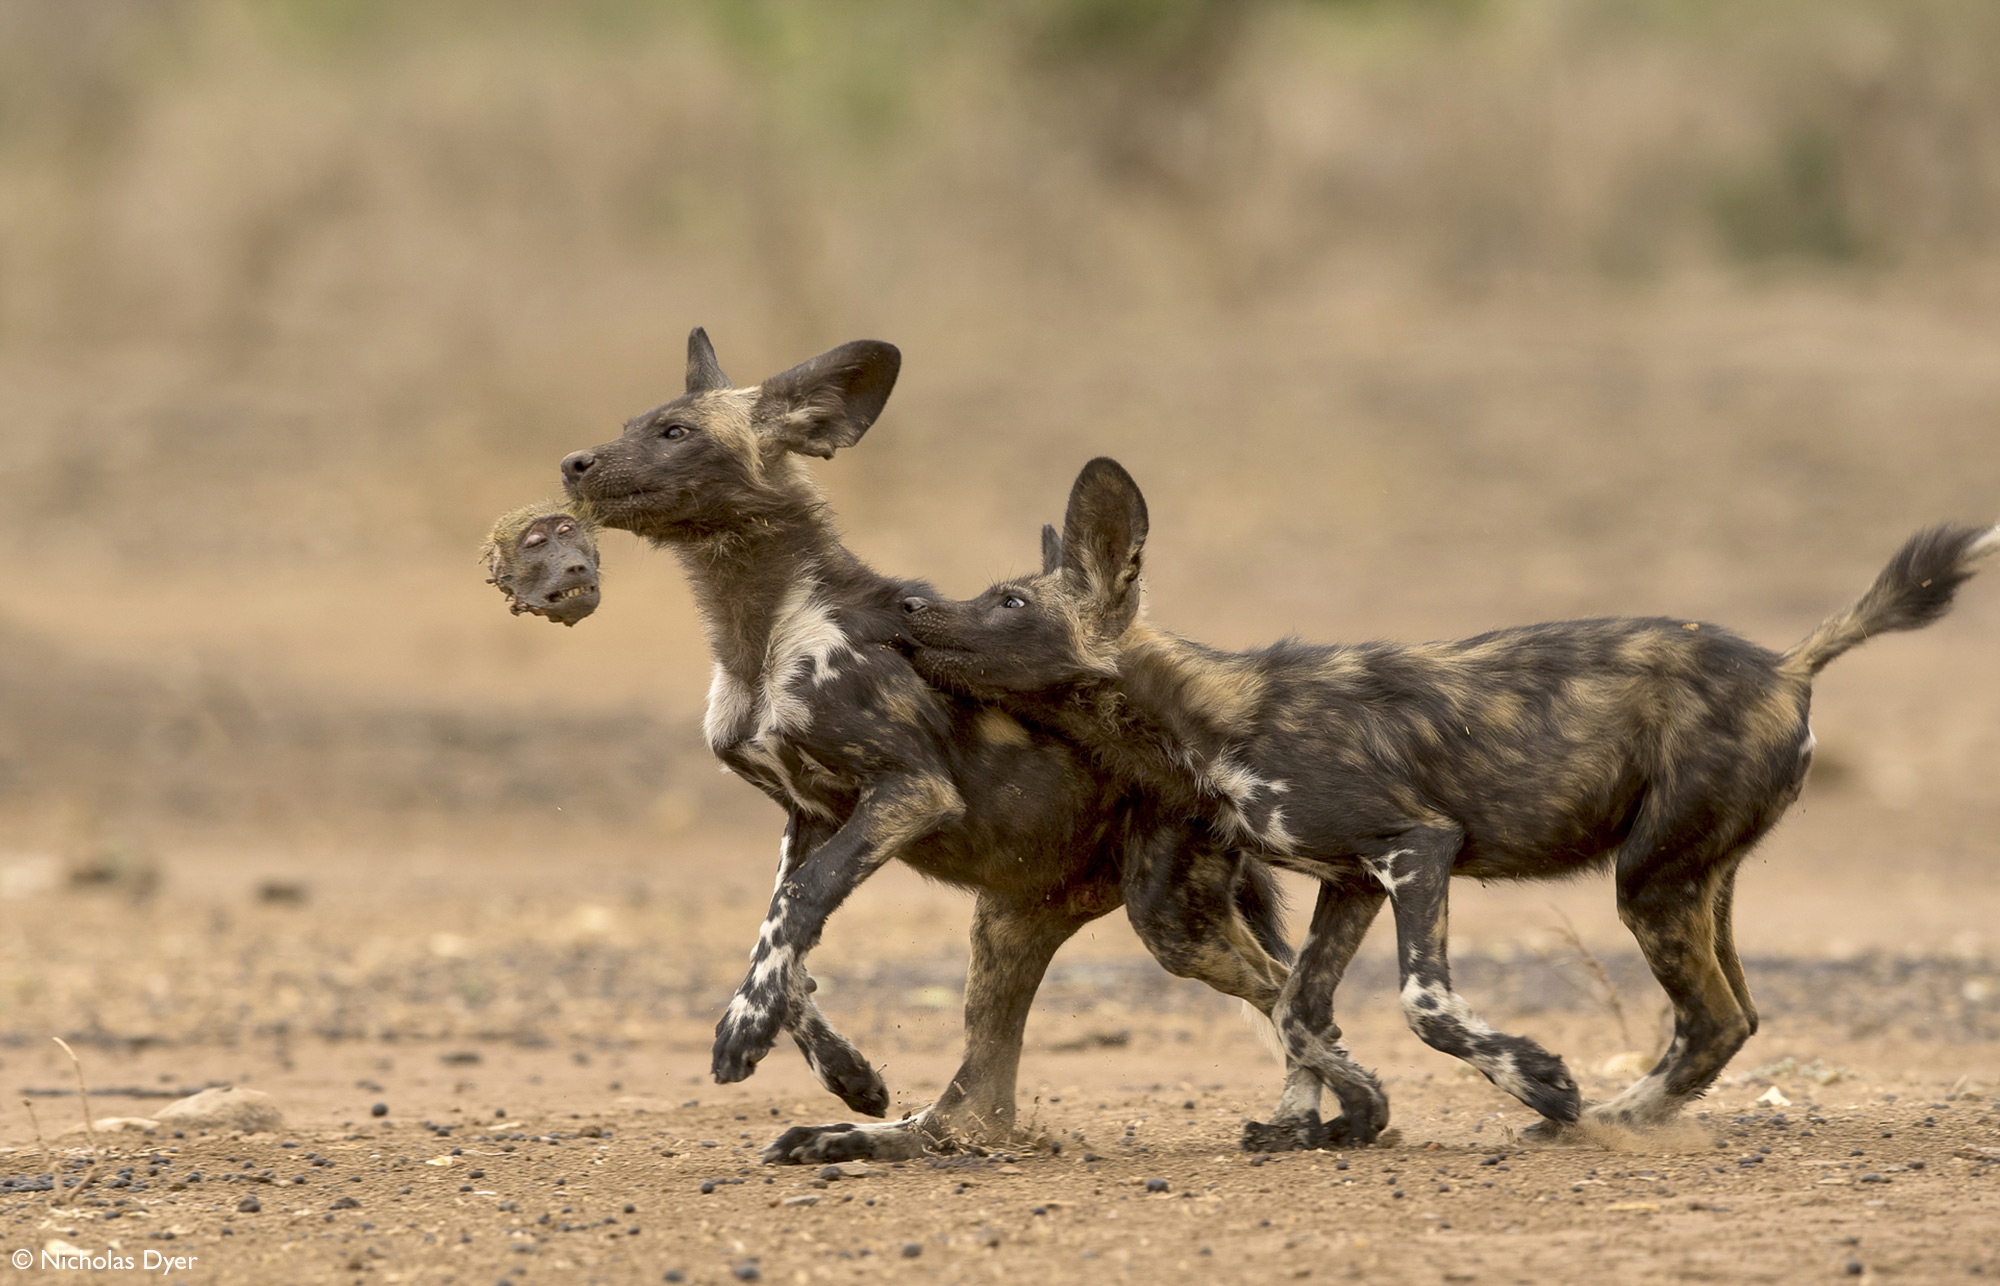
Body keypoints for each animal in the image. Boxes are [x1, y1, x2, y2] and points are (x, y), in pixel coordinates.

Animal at [552, 338, 1296, 1160]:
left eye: (675, 432)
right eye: (631, 425)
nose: (573, 463)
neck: (762, 632)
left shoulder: (908, 792)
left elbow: (800, 903)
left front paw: (742, 1032)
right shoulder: (810, 815)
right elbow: (781, 937)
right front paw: (843, 1069)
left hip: (1166, 920)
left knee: (1284, 992)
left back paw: (1322, 1117)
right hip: (1009, 923)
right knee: (977, 1107)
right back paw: (853, 1136)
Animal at [908, 458, 2000, 1144]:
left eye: (1007, 602)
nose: (911, 601)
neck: (1203, 718)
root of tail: (1786, 663)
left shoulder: (1416, 848)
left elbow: (1422, 1002)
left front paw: (1539, 1078)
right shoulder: (1349, 881)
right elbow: (1299, 1008)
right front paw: (1325, 1119)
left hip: (1647, 882)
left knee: (1714, 1019)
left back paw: (1597, 1121)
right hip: (1694, 878)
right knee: (1733, 1015)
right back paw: (1618, 1117)